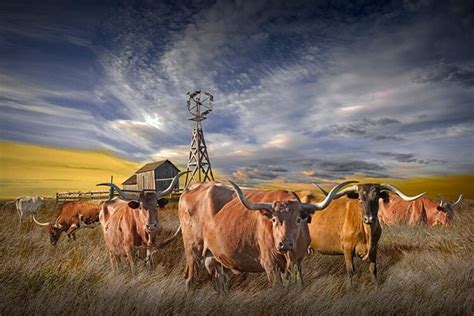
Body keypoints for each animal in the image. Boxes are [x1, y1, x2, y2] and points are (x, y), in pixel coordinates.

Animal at [178, 179, 356, 292]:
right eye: (274, 219)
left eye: (298, 219)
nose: (284, 244)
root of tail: (191, 189)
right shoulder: (270, 264)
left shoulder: (298, 261)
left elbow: (299, 285)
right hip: (193, 251)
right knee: (189, 279)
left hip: (216, 258)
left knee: (220, 282)